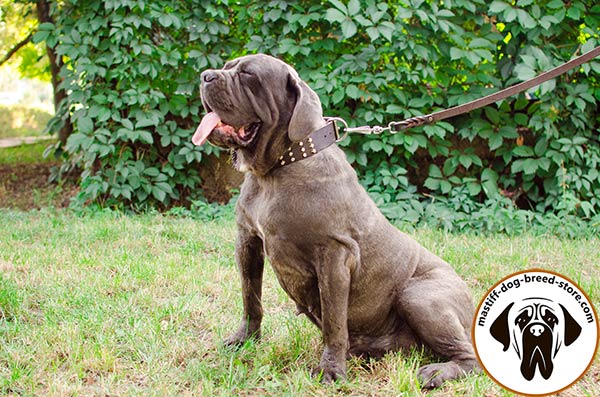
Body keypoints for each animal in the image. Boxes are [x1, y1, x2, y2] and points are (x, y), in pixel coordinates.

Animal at [195, 54, 480, 386]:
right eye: (227, 66)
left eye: (248, 75)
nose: (206, 75)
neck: (277, 169)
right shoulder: (248, 242)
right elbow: (250, 298)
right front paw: (244, 340)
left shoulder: (333, 255)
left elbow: (334, 321)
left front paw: (331, 370)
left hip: (419, 296)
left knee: (469, 357)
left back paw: (436, 372)